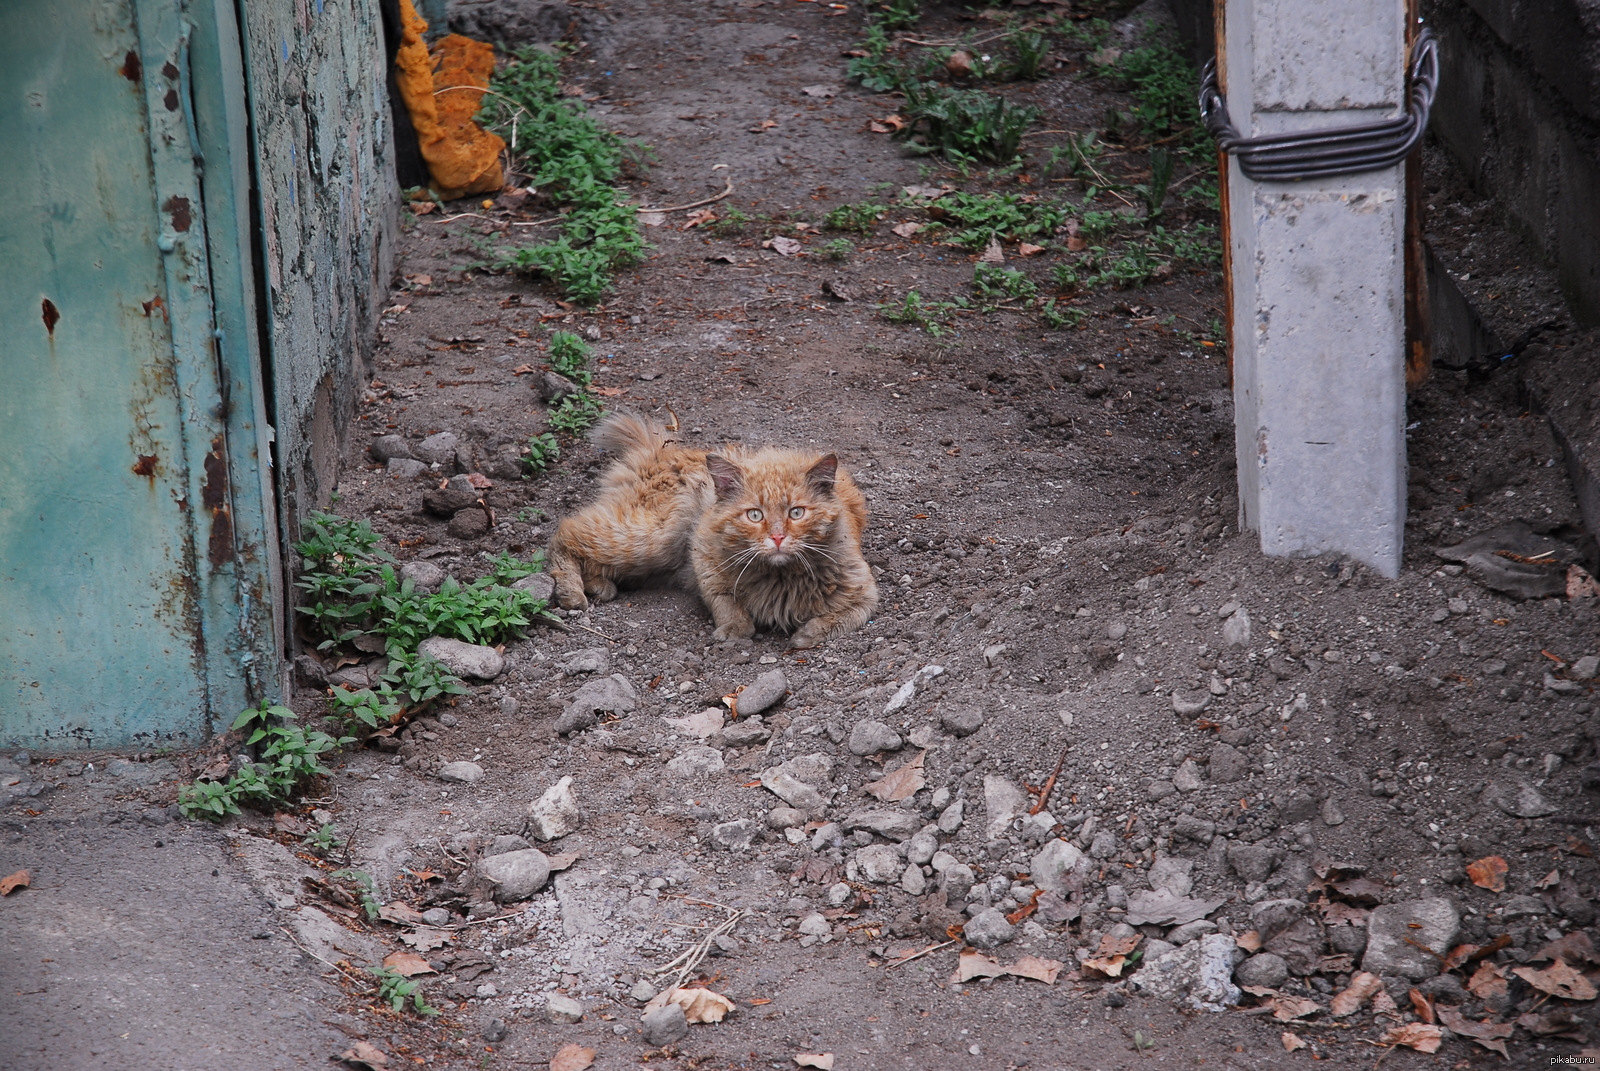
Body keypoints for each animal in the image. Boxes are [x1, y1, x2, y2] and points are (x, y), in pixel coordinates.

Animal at [547, 406, 876, 643]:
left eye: (796, 513)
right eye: (754, 515)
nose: (778, 538)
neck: (780, 577)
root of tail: (661, 448)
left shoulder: (865, 594)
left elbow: (844, 618)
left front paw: (807, 634)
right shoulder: (703, 556)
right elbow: (725, 602)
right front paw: (735, 628)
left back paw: (598, 585)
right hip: (654, 538)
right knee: (566, 533)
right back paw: (573, 593)